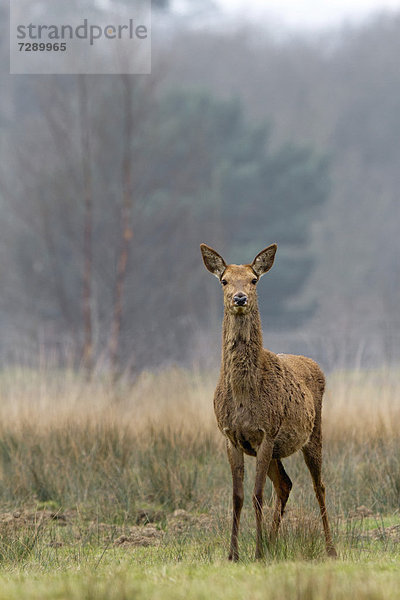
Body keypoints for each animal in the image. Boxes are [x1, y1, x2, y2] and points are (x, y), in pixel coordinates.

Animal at [200, 244, 338, 564]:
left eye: (254, 280)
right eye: (224, 280)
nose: (240, 298)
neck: (243, 396)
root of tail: (313, 364)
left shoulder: (266, 432)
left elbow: (257, 494)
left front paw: (258, 552)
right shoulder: (230, 436)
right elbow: (237, 496)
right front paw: (234, 553)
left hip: (313, 432)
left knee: (319, 486)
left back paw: (330, 548)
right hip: (278, 450)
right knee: (285, 484)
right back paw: (275, 543)